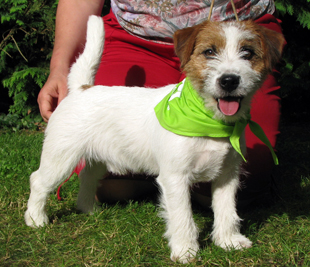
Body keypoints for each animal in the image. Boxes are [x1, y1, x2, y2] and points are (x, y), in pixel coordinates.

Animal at [25, 15, 284, 264]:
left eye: (247, 53)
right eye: (209, 52)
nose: (229, 80)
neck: (209, 121)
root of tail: (82, 88)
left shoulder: (227, 175)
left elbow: (227, 210)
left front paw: (228, 241)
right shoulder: (175, 178)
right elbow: (182, 217)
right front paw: (185, 251)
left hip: (96, 159)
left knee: (87, 177)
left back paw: (89, 209)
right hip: (60, 157)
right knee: (38, 181)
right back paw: (35, 219)